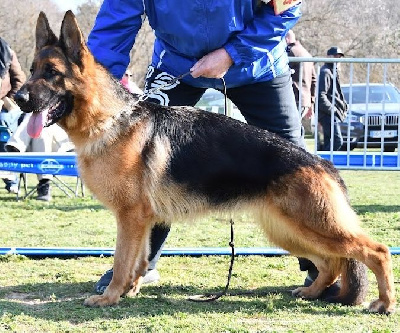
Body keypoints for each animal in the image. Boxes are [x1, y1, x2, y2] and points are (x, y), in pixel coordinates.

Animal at [14, 11, 396, 312]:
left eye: (51, 73)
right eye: (32, 70)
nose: (16, 97)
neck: (109, 119)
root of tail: (323, 164)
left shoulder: (130, 217)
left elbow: (123, 259)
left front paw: (110, 296)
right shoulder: (143, 221)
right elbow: (139, 258)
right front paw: (130, 290)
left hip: (313, 226)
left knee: (374, 251)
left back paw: (384, 303)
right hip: (289, 230)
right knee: (331, 263)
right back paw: (313, 291)